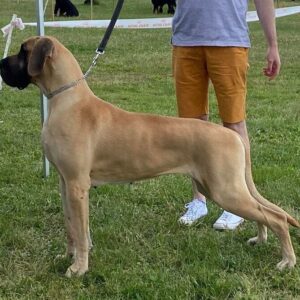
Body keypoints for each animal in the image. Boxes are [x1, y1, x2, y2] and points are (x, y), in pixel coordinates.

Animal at [0, 35, 298, 276]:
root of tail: (233, 136)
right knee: (265, 213)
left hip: (226, 190)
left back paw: (287, 261)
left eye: (23, 51)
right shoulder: (65, 184)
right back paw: (260, 240)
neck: (66, 99)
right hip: (223, 188)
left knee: (276, 218)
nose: (1, 63)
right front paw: (68, 256)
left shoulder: (77, 186)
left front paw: (79, 268)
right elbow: (72, 227)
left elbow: (81, 233)